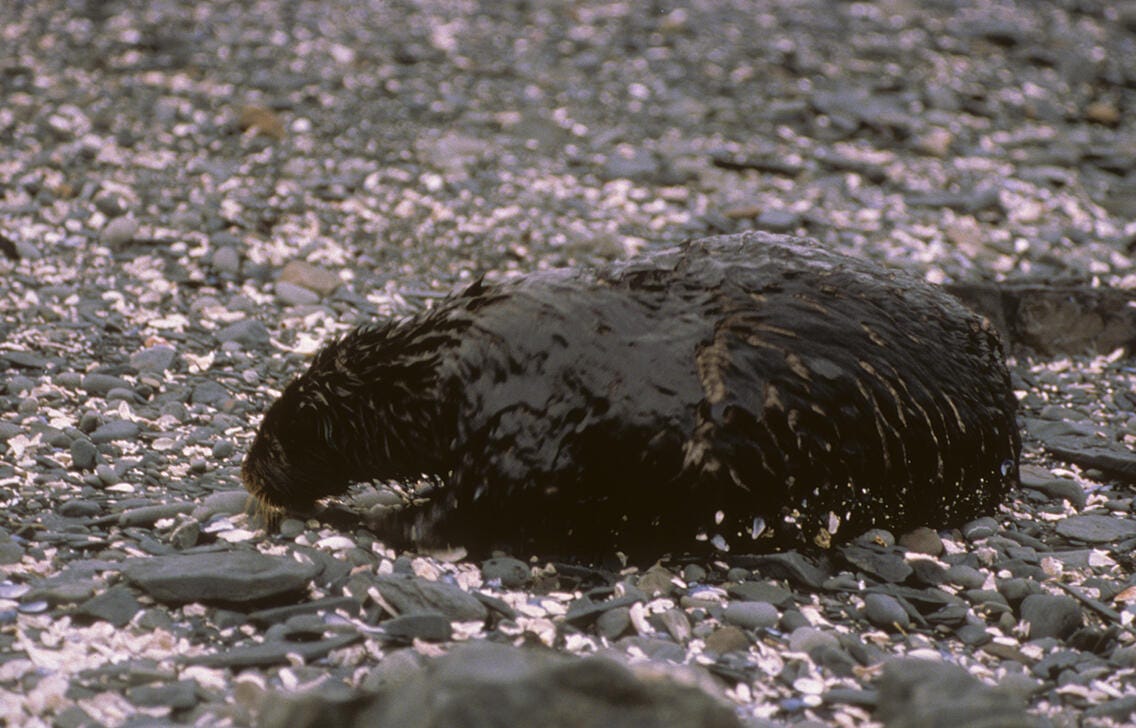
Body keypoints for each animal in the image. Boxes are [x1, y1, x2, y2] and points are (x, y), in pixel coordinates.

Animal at [242, 232, 1020, 557]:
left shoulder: (532, 429)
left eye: (278, 433)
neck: (451, 363)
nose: (249, 471)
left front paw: (381, 518)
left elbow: (488, 497)